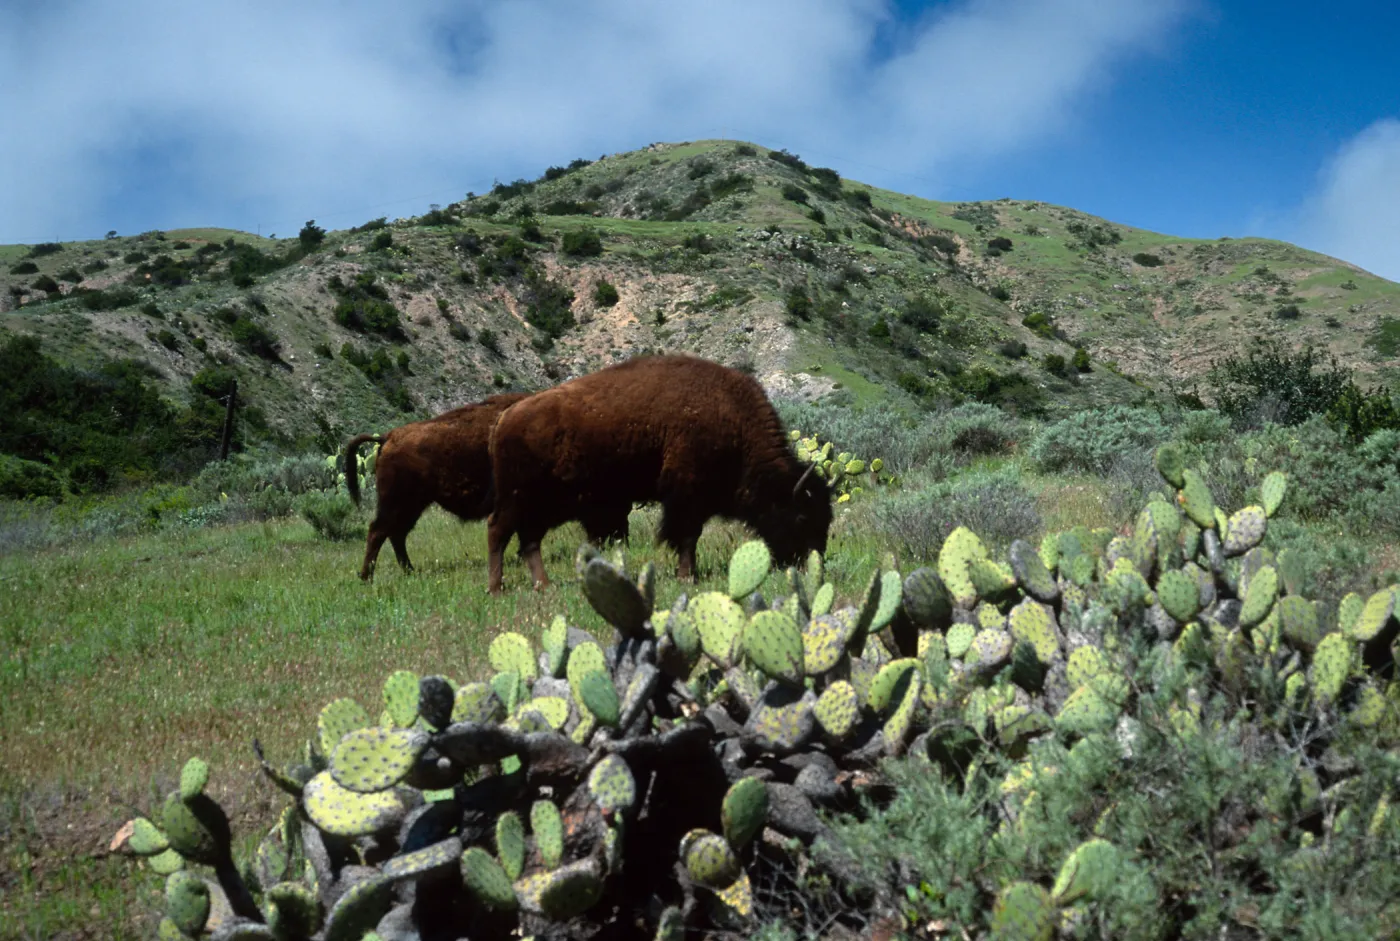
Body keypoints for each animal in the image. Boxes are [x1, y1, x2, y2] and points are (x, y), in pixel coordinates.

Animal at [344, 393, 631, 581]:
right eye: (609, 495)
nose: (623, 540)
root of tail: (388, 437)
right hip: (397, 502)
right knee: (378, 531)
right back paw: (367, 576)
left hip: (413, 505)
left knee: (396, 534)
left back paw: (408, 571)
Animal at [485, 353, 833, 594]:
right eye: (801, 516)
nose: (812, 565)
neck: (732, 423)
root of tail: (505, 419)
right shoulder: (686, 498)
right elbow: (687, 537)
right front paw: (687, 576)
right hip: (517, 501)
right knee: (498, 532)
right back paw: (496, 589)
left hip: (540, 508)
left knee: (529, 542)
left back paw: (543, 585)